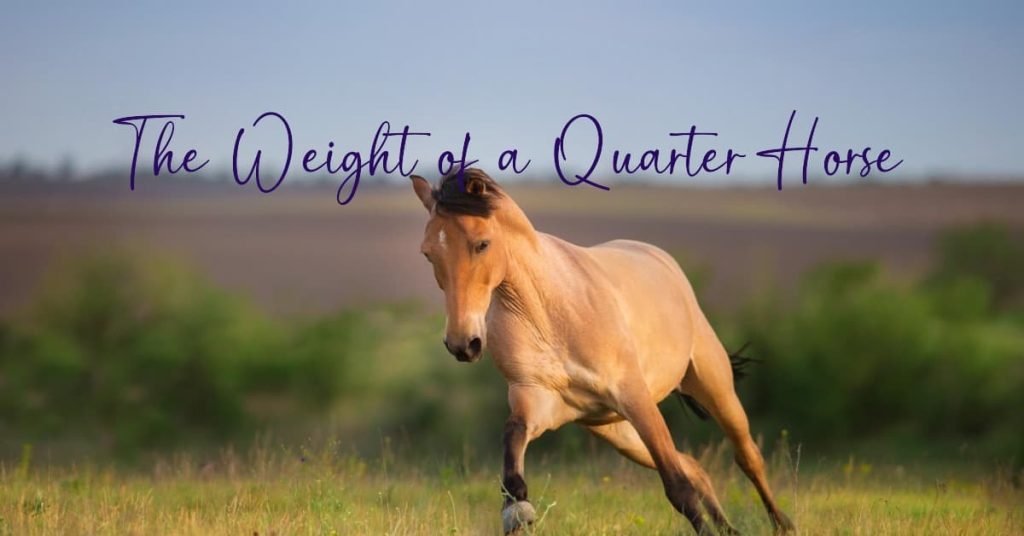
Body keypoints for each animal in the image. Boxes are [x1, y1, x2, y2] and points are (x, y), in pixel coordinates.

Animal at [409, 168, 794, 535]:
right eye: (428, 253)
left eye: (482, 244)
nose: (463, 343)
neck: (547, 314)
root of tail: (660, 259)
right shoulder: (535, 402)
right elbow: (512, 472)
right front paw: (519, 512)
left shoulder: (634, 397)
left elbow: (678, 488)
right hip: (617, 431)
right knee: (695, 467)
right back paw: (731, 528)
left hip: (712, 388)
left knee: (746, 457)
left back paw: (783, 524)